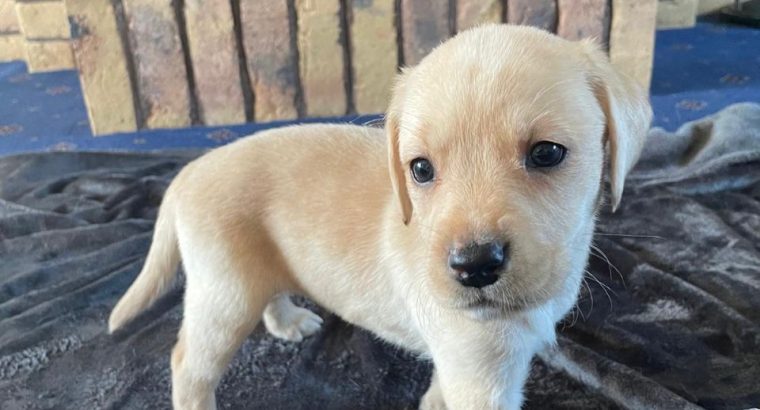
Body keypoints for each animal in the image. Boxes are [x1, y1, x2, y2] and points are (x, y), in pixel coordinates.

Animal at [108, 24, 652, 408]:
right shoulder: (482, 375)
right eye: (420, 169)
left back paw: (286, 321)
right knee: (188, 365)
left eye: (546, 153)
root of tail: (189, 171)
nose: (473, 266)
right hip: (223, 293)